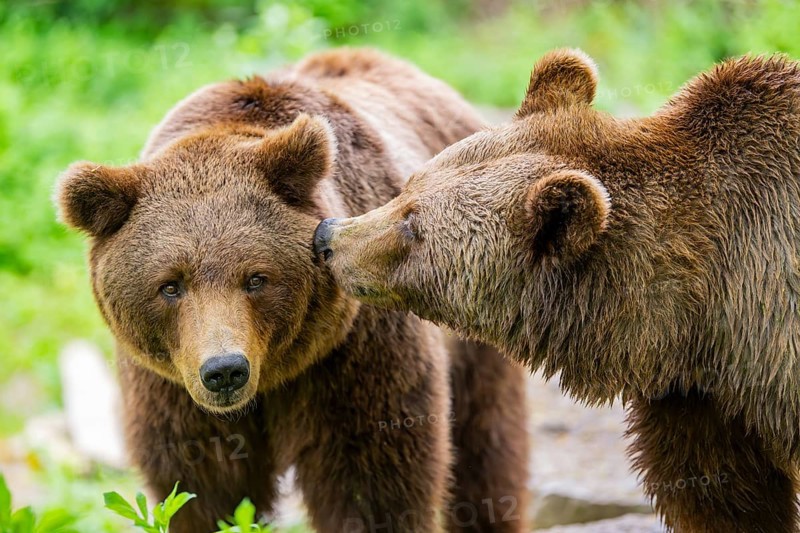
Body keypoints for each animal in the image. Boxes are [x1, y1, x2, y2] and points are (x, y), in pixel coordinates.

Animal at [54, 48, 530, 533]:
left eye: (256, 277)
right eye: (170, 286)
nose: (225, 370)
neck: (272, 379)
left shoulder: (353, 352)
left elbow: (373, 482)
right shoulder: (171, 386)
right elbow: (199, 489)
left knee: (486, 444)